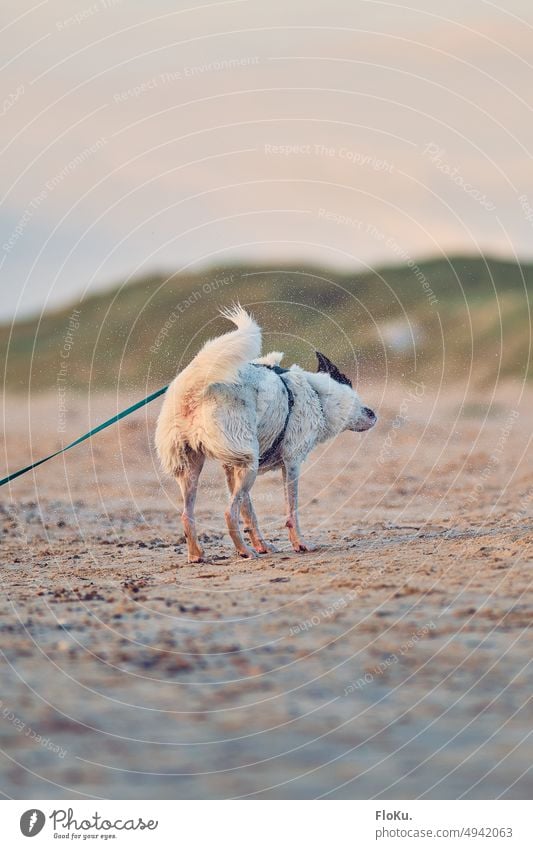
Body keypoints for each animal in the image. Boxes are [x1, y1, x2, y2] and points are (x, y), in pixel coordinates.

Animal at [156, 306, 376, 564]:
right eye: (350, 383)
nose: (373, 414)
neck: (316, 394)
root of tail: (193, 390)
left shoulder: (231, 466)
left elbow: (249, 512)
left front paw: (263, 545)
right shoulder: (292, 463)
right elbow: (291, 510)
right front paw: (299, 544)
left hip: (194, 467)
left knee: (187, 514)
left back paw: (197, 554)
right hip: (248, 466)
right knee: (228, 512)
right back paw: (244, 551)